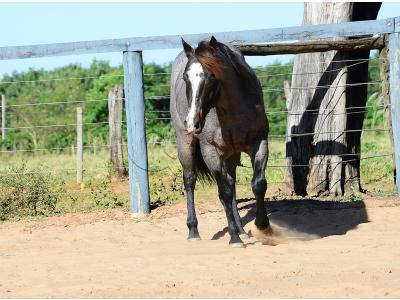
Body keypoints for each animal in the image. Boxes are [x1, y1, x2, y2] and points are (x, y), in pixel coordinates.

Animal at [170, 36, 270, 247]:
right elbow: (223, 192)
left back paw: (242, 229)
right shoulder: (211, 151)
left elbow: (258, 184)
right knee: (190, 180)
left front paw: (263, 225)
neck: (232, 110)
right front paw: (234, 238)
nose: (192, 122)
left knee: (231, 182)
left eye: (211, 76)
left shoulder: (259, 143)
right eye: (186, 78)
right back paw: (193, 230)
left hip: (232, 154)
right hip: (185, 143)